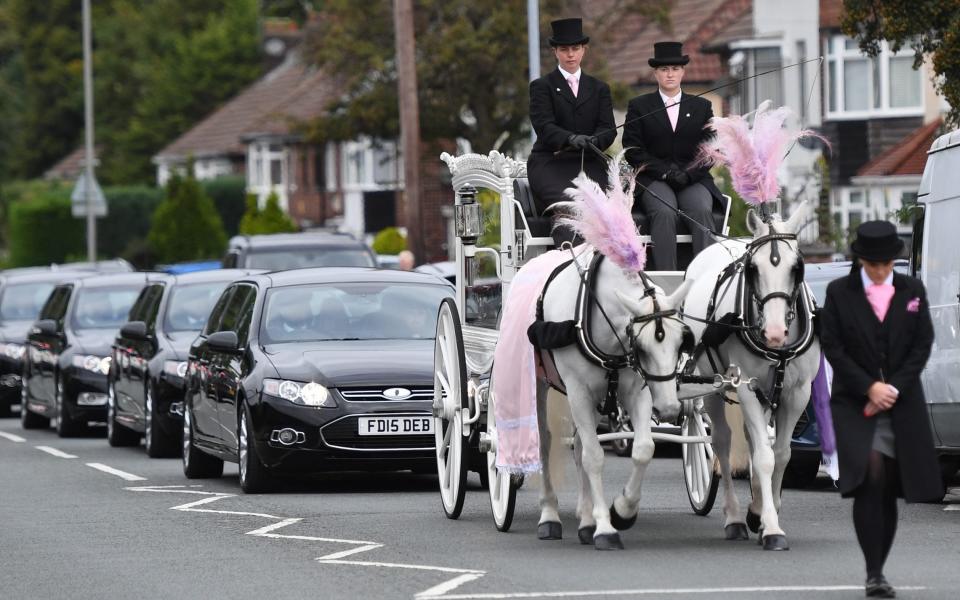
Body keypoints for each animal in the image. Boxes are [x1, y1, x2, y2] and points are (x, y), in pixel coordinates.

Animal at [540, 251, 688, 552]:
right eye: (641, 347)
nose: (669, 408)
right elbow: (595, 457)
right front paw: (606, 529)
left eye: (681, 341)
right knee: (545, 443)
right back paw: (549, 515)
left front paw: (622, 510)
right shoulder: (578, 392)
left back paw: (586, 520)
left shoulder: (637, 392)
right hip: (540, 386)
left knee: (579, 448)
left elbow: (643, 449)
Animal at [684, 204, 816, 552]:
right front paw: (771, 528)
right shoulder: (746, 389)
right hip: (712, 387)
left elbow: (780, 455)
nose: (774, 333)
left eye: (798, 268)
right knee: (722, 442)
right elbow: (764, 457)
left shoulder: (797, 393)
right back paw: (733, 518)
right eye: (753, 269)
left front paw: (763, 512)